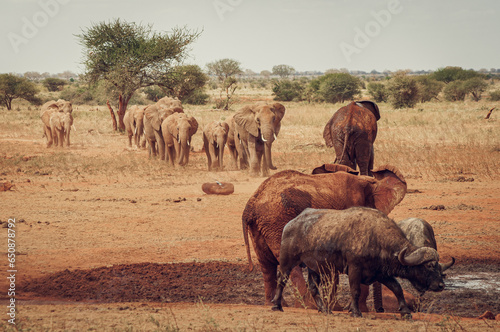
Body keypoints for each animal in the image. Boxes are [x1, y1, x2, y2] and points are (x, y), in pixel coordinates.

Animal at [241, 163, 406, 306]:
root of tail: (251, 204)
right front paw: (336, 307)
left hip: (261, 226)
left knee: (266, 266)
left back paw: (275, 304)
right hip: (277, 222)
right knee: (288, 264)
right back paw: (309, 305)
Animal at [272, 206, 452, 318]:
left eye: (439, 267)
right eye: (429, 266)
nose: (441, 285)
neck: (377, 238)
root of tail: (291, 223)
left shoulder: (381, 273)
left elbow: (397, 288)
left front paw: (406, 312)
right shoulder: (354, 268)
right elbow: (356, 290)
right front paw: (356, 312)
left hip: (314, 268)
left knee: (313, 287)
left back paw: (324, 310)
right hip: (287, 261)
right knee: (281, 279)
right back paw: (276, 305)